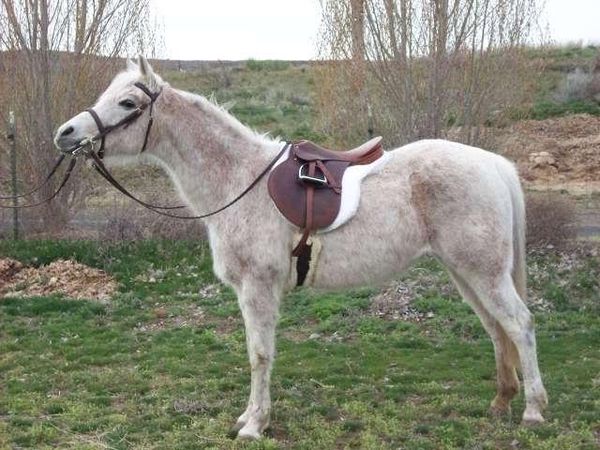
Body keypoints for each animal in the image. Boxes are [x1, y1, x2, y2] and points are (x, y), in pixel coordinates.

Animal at [55, 56, 548, 440]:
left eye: (128, 103)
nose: (66, 133)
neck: (239, 178)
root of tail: (494, 164)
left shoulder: (258, 287)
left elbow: (259, 354)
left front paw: (255, 424)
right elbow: (256, 352)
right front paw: (249, 417)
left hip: (483, 272)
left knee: (519, 324)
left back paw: (532, 410)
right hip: (465, 272)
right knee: (496, 328)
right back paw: (501, 402)